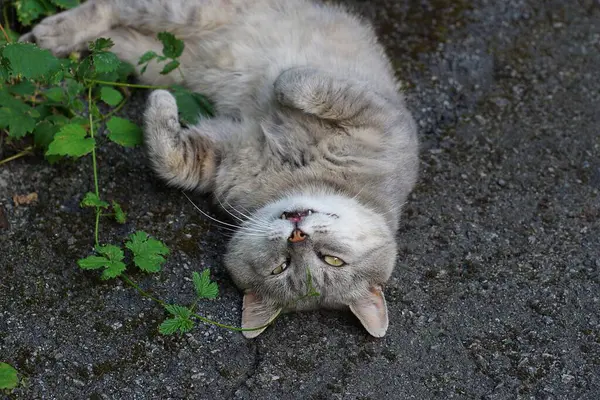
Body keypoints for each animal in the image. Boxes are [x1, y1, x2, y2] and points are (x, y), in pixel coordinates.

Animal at [22, 0, 418, 338]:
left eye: (283, 267)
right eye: (333, 261)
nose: (297, 235)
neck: (294, 178)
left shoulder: (213, 156)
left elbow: (170, 160)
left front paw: (160, 107)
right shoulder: (373, 113)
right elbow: (295, 81)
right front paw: (280, 85)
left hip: (162, 60)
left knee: (118, 40)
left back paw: (62, 48)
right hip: (186, 13)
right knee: (109, 9)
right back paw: (48, 36)